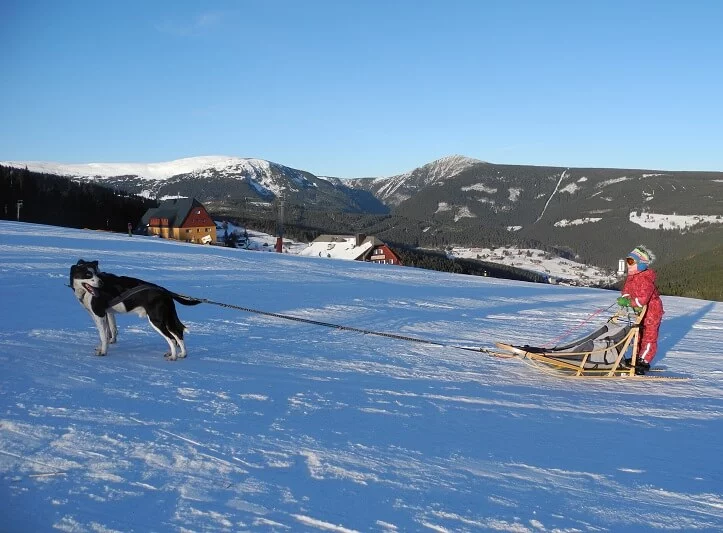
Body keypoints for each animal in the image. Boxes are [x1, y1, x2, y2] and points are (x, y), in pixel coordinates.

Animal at [70, 260, 201, 360]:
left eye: (96, 273)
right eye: (88, 274)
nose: (101, 283)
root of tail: (164, 291)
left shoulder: (99, 314)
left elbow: (103, 334)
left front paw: (103, 352)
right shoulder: (107, 314)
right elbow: (108, 332)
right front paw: (104, 345)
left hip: (156, 320)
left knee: (172, 339)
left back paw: (173, 357)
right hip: (167, 319)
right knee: (178, 333)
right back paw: (182, 354)